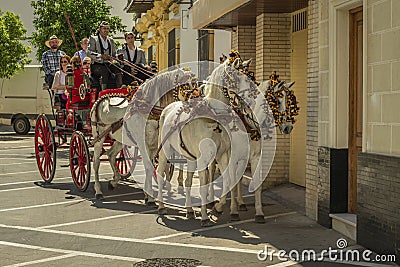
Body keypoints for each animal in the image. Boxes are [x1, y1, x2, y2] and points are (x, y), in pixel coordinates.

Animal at [92, 68, 195, 202]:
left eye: (194, 85)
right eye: (185, 86)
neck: (149, 110)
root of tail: (101, 99)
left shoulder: (154, 145)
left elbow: (153, 166)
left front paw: (148, 194)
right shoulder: (143, 143)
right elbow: (149, 167)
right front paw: (150, 197)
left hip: (120, 140)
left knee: (111, 155)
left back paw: (114, 181)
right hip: (98, 137)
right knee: (96, 162)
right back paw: (98, 191)